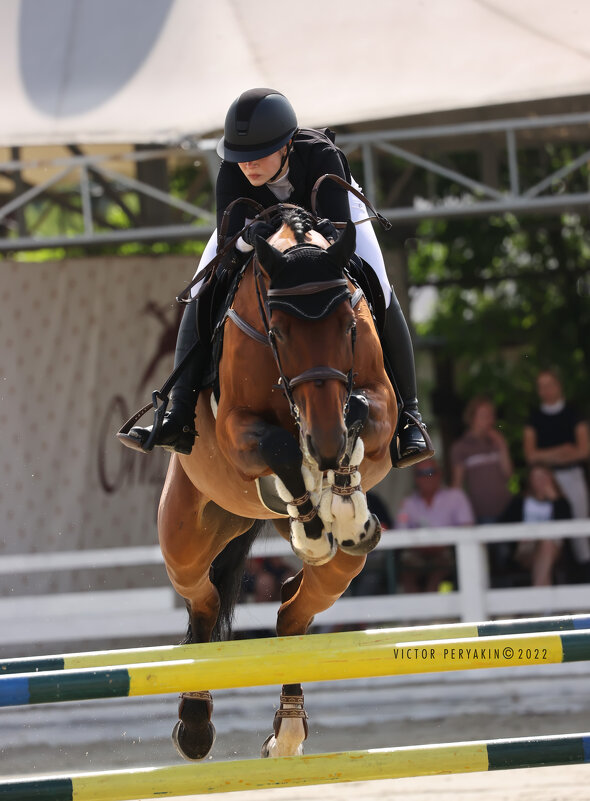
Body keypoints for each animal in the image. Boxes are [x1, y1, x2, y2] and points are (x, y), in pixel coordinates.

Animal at [158, 209, 398, 760]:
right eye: (280, 333)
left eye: (349, 326)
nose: (326, 444)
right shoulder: (236, 430)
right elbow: (283, 449)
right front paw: (313, 524)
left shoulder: (379, 401)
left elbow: (360, 413)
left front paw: (344, 507)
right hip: (183, 534)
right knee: (204, 601)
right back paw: (196, 725)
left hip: (343, 568)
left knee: (292, 611)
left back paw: (287, 731)